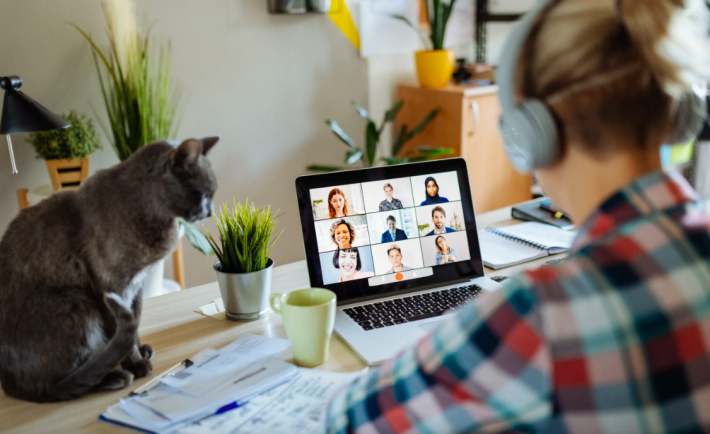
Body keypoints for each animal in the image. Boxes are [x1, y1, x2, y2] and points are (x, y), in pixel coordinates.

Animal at [0, 137, 218, 402]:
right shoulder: (111, 286)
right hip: (77, 302)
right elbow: (122, 327)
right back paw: (115, 376)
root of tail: (9, 384)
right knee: (57, 384)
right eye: (204, 194)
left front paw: (140, 349)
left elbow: (134, 321)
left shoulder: (136, 287)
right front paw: (136, 363)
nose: (210, 212)